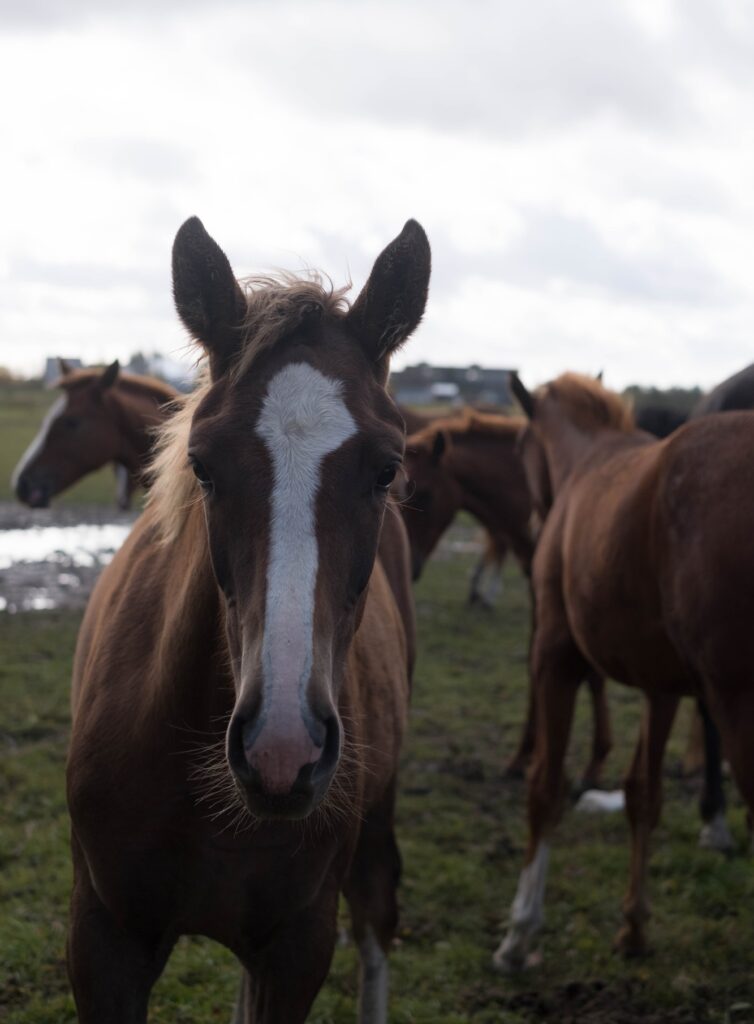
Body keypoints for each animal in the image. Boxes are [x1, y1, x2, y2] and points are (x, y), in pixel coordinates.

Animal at [66, 216, 430, 1023]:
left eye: (388, 469)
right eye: (202, 465)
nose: (283, 751)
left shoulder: (297, 949)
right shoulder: (104, 941)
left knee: (378, 917)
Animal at [401, 411, 612, 790]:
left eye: (423, 494)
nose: (408, 565)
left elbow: (591, 672)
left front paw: (594, 763)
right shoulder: (537, 588)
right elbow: (534, 661)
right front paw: (524, 755)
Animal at [494, 371, 754, 970]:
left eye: (519, 447)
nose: (536, 522)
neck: (590, 459)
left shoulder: (555, 658)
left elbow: (545, 788)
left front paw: (520, 932)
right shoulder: (662, 687)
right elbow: (643, 796)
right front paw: (634, 926)